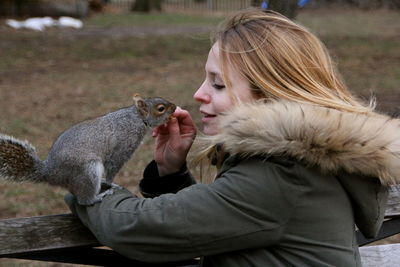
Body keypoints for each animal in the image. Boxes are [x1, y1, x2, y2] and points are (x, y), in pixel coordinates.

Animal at [0, 95, 175, 206]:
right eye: (161, 108)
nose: (174, 107)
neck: (136, 118)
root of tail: (49, 172)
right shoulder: (122, 147)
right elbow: (113, 166)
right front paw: (112, 184)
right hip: (88, 170)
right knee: (84, 201)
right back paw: (99, 196)